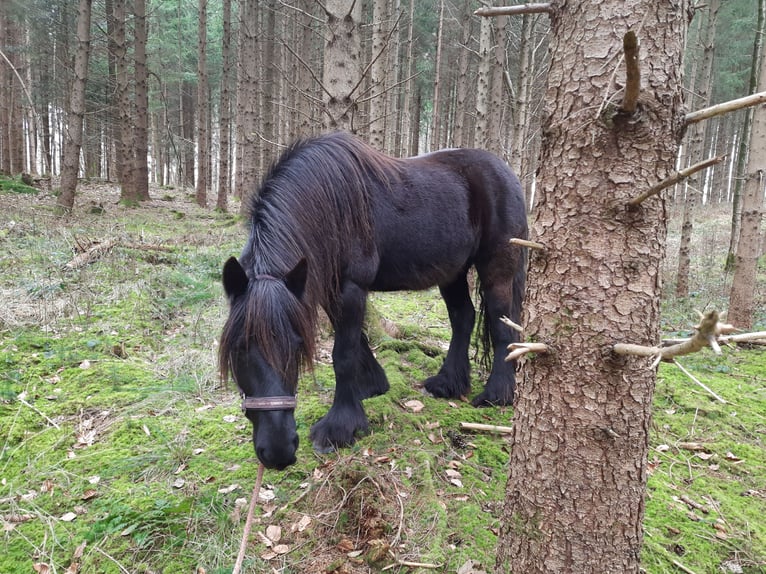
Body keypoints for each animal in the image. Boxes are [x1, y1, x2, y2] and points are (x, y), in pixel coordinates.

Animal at [219, 132, 527, 470]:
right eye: (239, 349)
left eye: (298, 346)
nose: (278, 452)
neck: (327, 204)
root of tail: (507, 172)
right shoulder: (330, 289)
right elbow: (357, 342)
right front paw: (371, 386)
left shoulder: (351, 287)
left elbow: (343, 354)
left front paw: (339, 427)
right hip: (453, 271)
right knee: (463, 317)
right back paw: (448, 383)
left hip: (497, 267)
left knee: (501, 323)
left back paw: (496, 393)